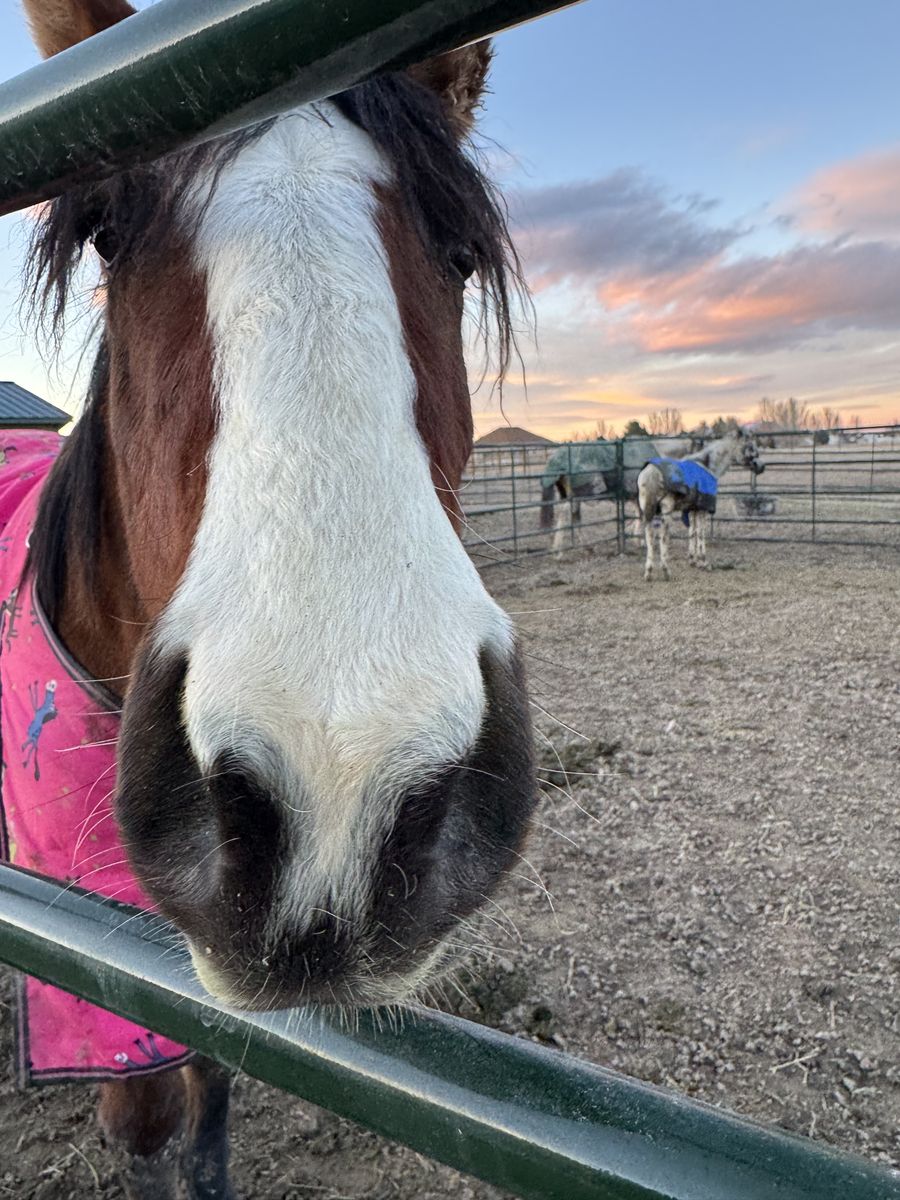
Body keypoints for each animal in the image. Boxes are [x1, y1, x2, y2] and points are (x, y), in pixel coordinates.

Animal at [636, 431, 763, 580]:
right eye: (750, 447)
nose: (761, 467)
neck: (707, 465)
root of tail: (650, 474)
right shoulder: (703, 509)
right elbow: (701, 533)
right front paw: (704, 562)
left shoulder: (692, 509)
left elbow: (693, 532)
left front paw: (693, 560)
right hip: (665, 512)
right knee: (662, 536)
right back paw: (666, 571)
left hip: (647, 511)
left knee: (649, 536)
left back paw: (648, 573)